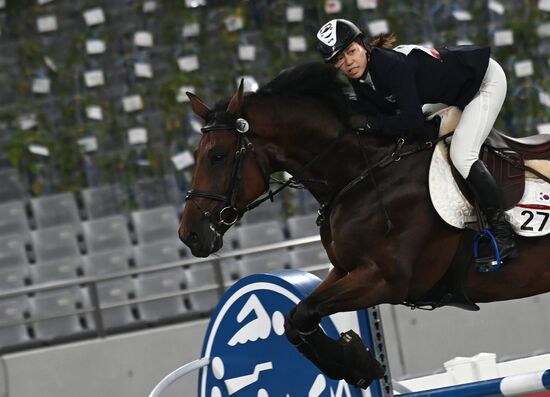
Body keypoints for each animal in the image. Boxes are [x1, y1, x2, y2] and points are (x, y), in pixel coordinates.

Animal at [178, 63, 550, 388]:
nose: (190, 234)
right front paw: (358, 364)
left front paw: (357, 363)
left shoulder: (384, 279)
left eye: (218, 156)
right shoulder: (343, 271)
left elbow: (305, 312)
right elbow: (293, 318)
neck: (362, 172)